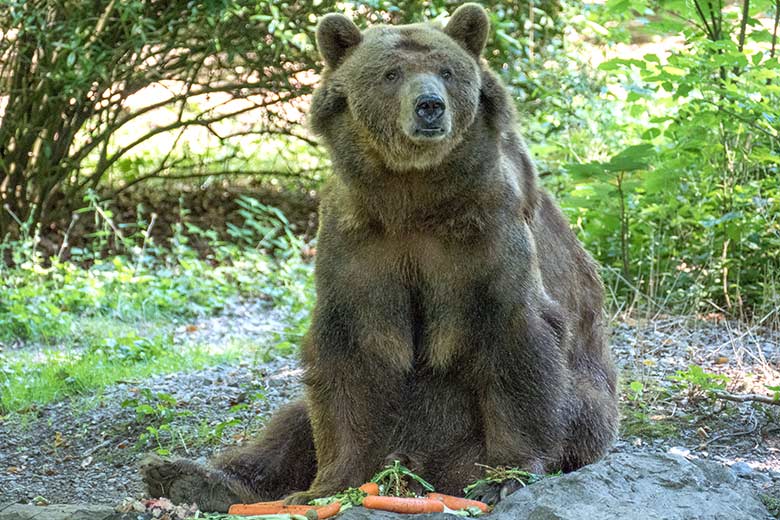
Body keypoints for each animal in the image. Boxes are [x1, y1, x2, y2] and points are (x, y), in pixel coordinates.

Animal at [140, 2, 616, 510]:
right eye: (391, 74)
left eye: (447, 71)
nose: (430, 106)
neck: (412, 194)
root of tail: (416, 468)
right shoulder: (359, 241)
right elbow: (349, 355)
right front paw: (330, 483)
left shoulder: (486, 233)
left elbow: (516, 340)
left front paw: (506, 474)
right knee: (290, 423)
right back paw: (188, 476)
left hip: (567, 409)